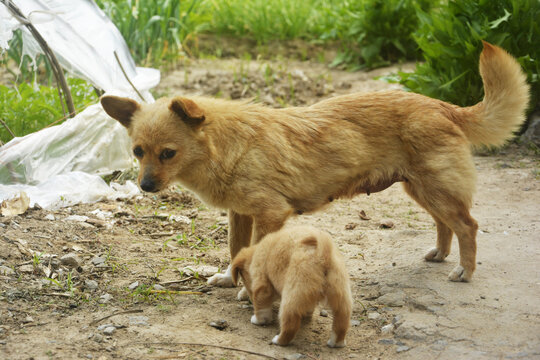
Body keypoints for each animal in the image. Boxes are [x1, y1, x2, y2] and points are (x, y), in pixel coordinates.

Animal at [100, 42, 528, 284]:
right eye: (138, 152)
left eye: (168, 153)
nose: (145, 187)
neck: (226, 146)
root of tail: (442, 105)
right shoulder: (240, 215)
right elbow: (234, 250)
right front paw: (228, 277)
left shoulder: (270, 215)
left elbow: (254, 253)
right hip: (421, 189)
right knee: (446, 224)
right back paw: (440, 254)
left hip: (435, 189)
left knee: (468, 226)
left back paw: (466, 271)